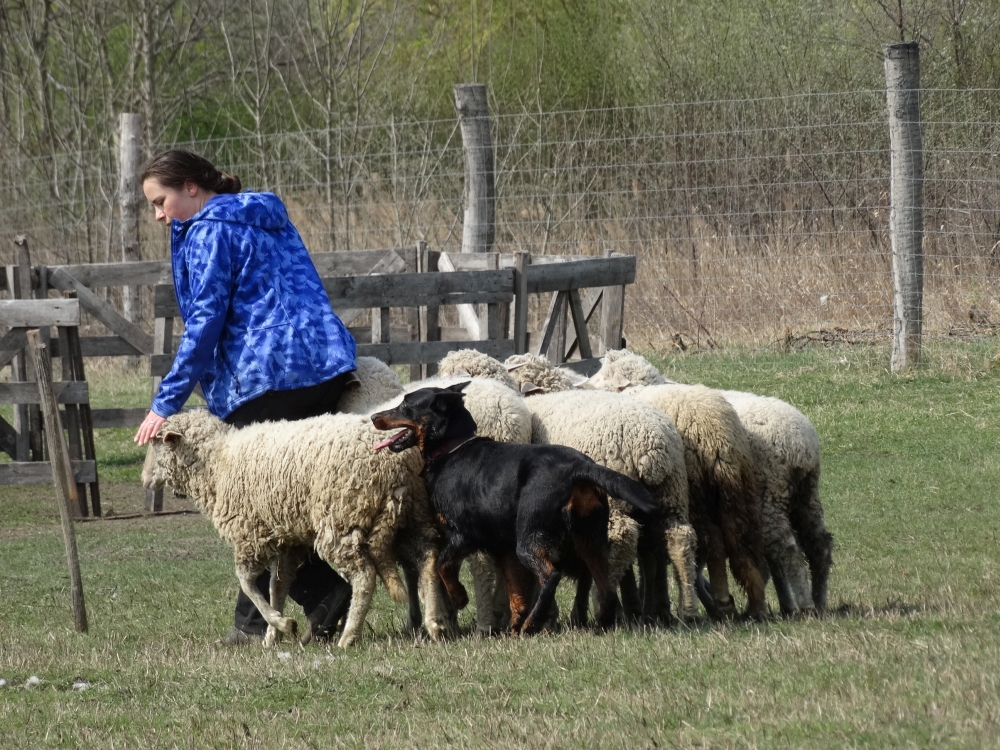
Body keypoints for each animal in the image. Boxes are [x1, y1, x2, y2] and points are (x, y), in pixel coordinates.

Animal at [142, 408, 450, 648]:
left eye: (156, 445)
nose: (145, 479)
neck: (216, 463)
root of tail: (397, 461)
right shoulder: (285, 539)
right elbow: (277, 586)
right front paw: (272, 636)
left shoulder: (249, 534)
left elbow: (247, 582)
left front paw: (282, 623)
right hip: (414, 512)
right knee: (427, 558)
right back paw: (435, 623)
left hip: (341, 519)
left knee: (364, 577)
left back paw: (348, 637)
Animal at [372, 382, 660, 636]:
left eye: (405, 405)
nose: (375, 416)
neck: (452, 448)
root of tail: (580, 466)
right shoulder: (504, 547)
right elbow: (515, 591)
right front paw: (512, 623)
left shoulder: (463, 534)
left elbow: (443, 564)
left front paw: (460, 597)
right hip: (589, 539)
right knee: (606, 588)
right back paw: (599, 624)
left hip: (531, 537)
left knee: (551, 576)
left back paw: (532, 625)